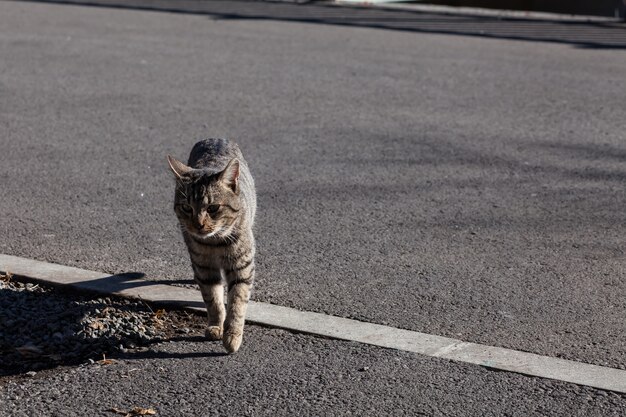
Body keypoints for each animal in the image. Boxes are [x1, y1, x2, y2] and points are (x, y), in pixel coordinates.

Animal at [166, 138, 256, 352]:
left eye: (213, 208)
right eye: (187, 207)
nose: (199, 224)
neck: (216, 243)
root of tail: (215, 138)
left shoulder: (242, 267)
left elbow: (237, 302)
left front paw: (232, 335)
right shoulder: (204, 268)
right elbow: (213, 299)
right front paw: (216, 326)